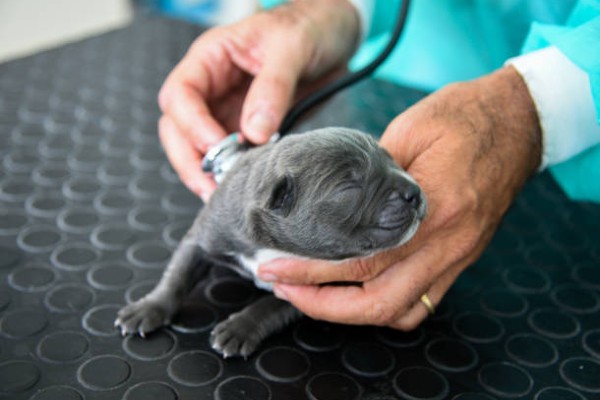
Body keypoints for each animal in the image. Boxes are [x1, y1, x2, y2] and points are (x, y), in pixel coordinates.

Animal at [115, 126, 426, 358]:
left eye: (391, 158)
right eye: (350, 186)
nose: (415, 191)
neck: (272, 246)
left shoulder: (308, 286)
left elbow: (270, 305)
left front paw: (240, 329)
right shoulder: (204, 235)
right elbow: (177, 275)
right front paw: (149, 308)